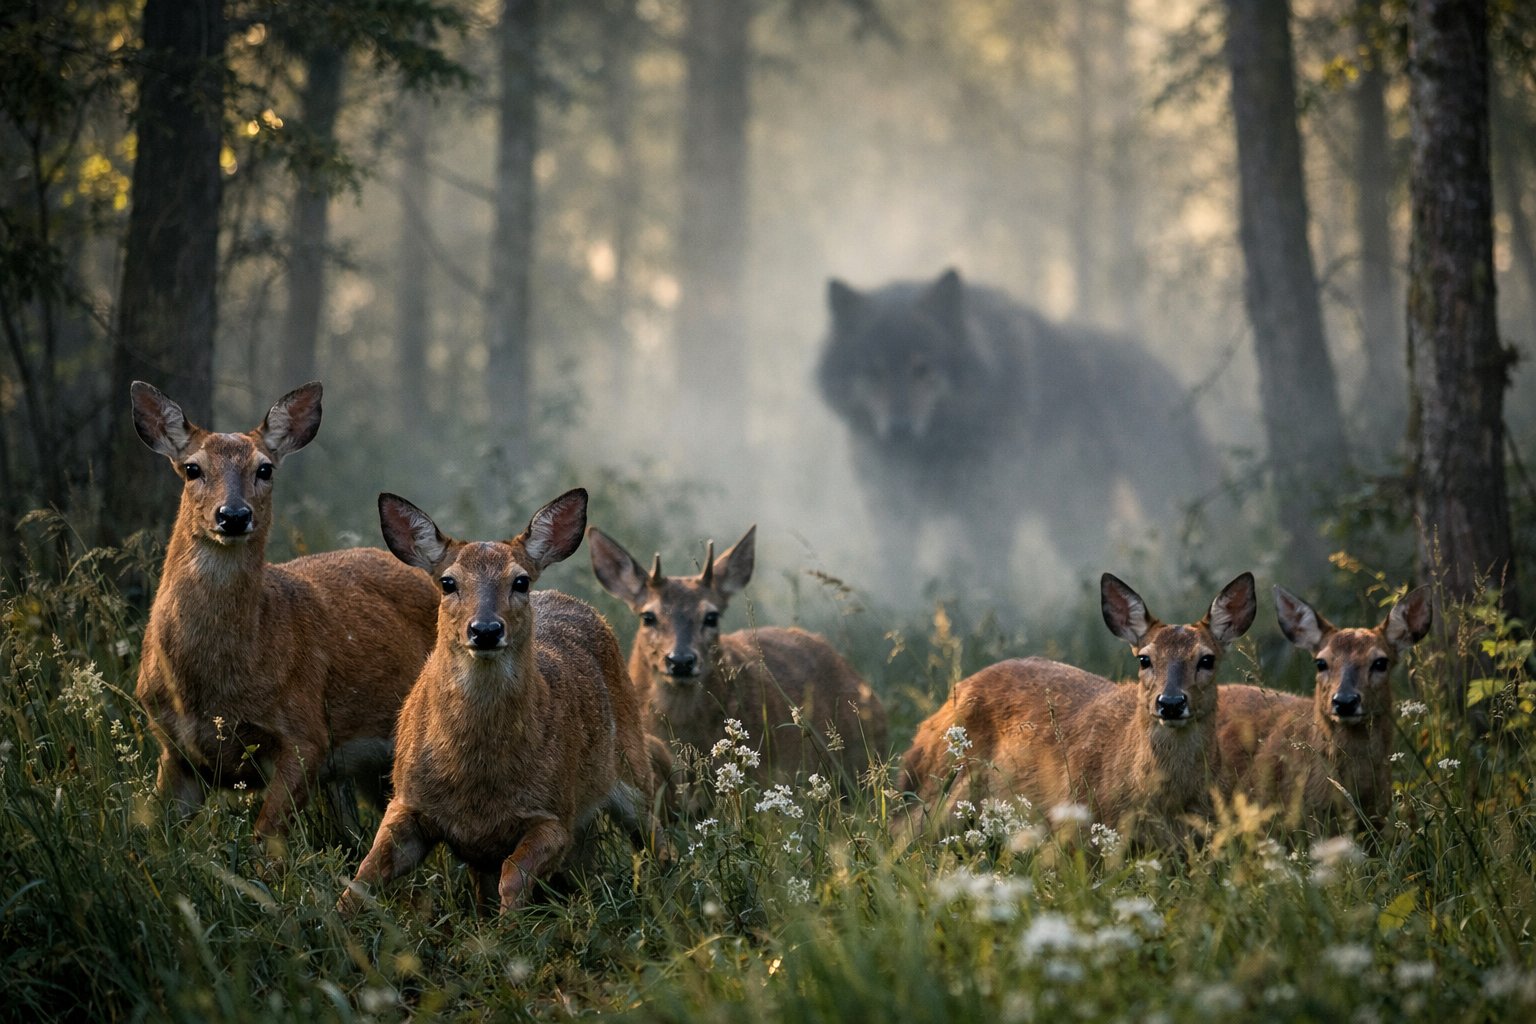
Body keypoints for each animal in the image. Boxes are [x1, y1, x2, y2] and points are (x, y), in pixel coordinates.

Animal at [130, 381, 439, 839]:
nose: (233, 515)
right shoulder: (174, 748)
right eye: (192, 468)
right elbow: (152, 838)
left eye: (265, 469)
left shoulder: (305, 733)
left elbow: (265, 836)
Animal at [338, 489, 658, 915]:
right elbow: (363, 875)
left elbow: (514, 877)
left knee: (657, 840)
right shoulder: (407, 801)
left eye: (519, 581)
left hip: (633, 771)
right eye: (447, 582)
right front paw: (333, 919)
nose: (486, 630)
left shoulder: (555, 813)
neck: (477, 780)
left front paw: (510, 928)